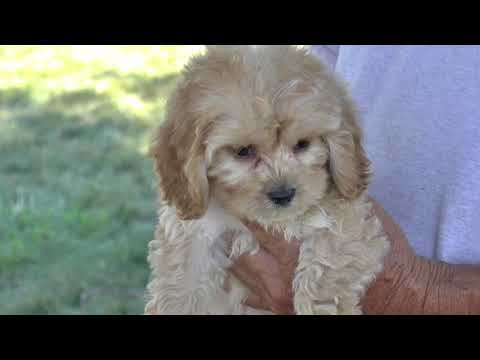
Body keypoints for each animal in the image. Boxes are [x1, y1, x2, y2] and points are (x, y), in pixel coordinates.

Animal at [145, 45, 390, 316]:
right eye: (243, 151)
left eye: (302, 144)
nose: (283, 195)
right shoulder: (193, 232)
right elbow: (180, 286)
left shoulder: (347, 217)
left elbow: (329, 263)